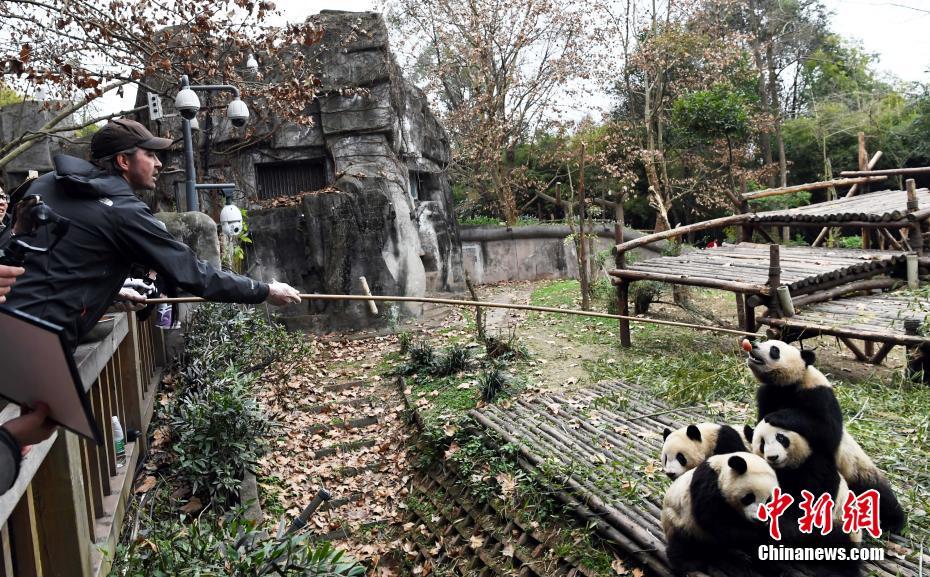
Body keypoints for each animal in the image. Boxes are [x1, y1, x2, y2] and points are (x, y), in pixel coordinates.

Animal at [750, 410, 905, 534]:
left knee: (876, 490)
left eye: (781, 438)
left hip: (855, 466)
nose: (773, 457)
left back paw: (893, 522)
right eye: (762, 444)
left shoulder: (819, 458)